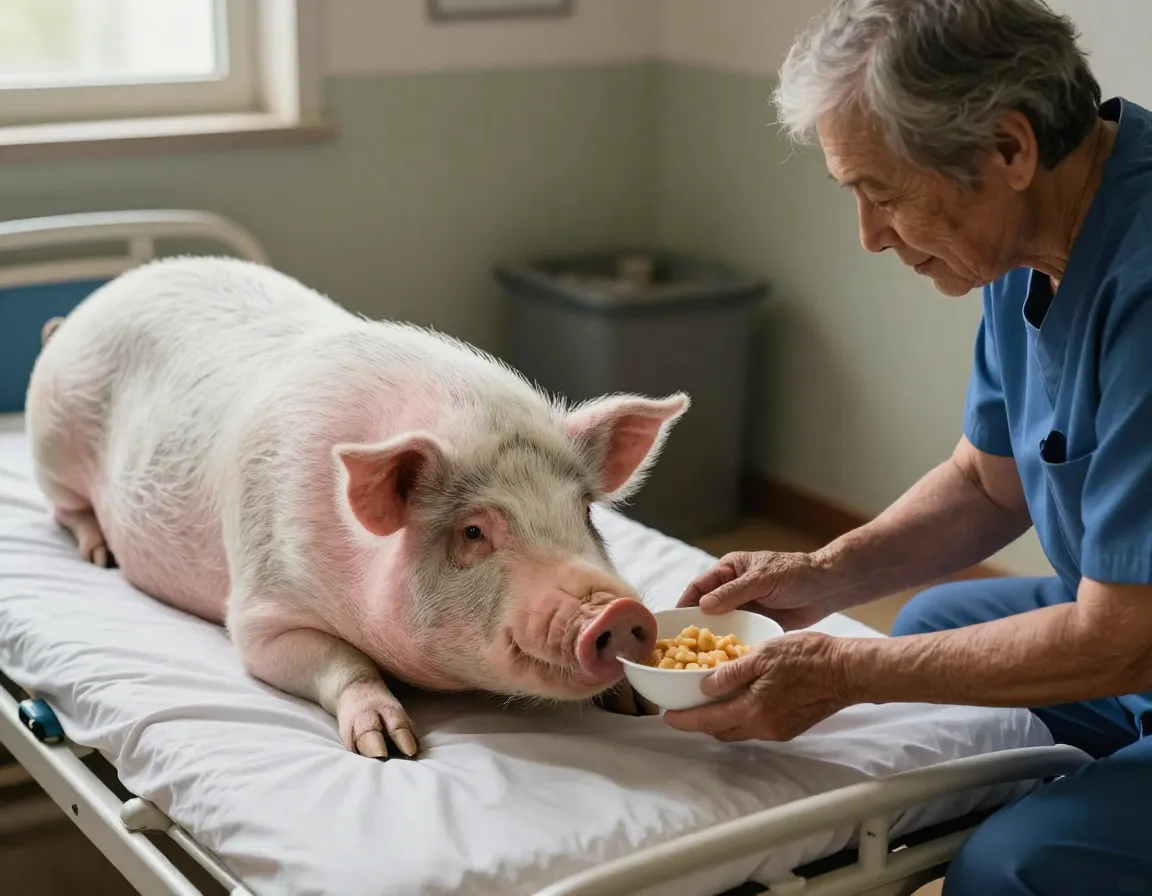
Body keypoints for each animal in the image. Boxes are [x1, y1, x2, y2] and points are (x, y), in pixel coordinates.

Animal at [25, 256, 688, 759]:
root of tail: (82, 310)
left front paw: (637, 704)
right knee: (66, 509)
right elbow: (341, 660)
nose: (618, 610)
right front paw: (391, 748)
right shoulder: (260, 614)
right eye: (474, 532)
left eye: (586, 515)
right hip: (51, 446)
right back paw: (102, 555)